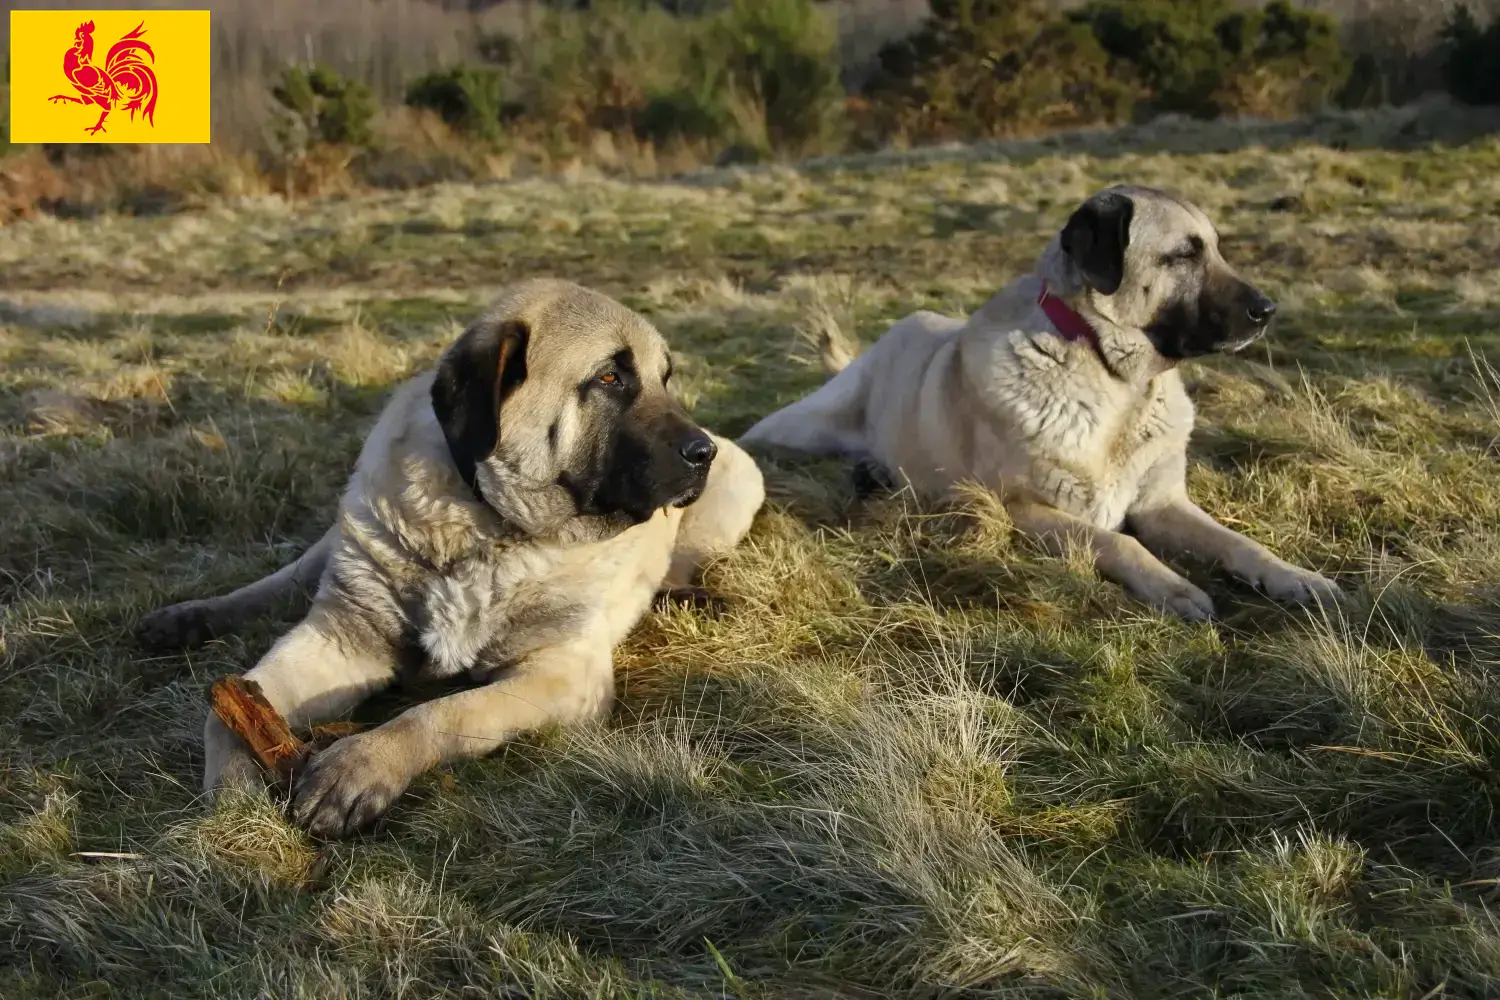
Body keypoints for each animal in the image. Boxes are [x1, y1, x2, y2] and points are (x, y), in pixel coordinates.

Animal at [744, 180, 1344, 617]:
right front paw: (1174, 588)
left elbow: (1240, 543)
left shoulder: (1162, 503)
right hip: (803, 426)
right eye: (1182, 256)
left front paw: (1296, 578)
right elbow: (1120, 543)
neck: (1114, 380)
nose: (1267, 310)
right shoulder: (1025, 510)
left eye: (1216, 249)